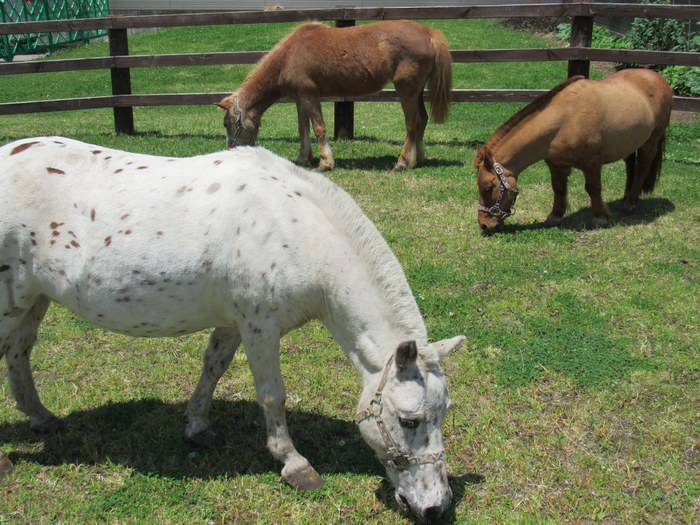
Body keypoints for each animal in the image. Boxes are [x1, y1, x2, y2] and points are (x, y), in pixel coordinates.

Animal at [0, 137, 464, 521]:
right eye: (408, 421)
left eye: (443, 412)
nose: (435, 507)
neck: (294, 227)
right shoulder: (260, 326)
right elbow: (272, 395)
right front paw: (293, 463)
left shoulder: (233, 324)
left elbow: (213, 368)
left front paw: (197, 426)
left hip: (32, 300)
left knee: (19, 353)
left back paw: (41, 417)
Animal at [217, 20, 453, 172]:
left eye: (227, 123)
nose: (229, 151)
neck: (289, 55)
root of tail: (430, 33)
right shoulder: (300, 98)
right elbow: (303, 128)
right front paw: (303, 159)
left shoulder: (310, 95)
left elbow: (319, 128)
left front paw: (325, 163)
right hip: (417, 91)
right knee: (422, 120)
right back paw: (417, 159)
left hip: (407, 90)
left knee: (413, 123)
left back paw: (402, 163)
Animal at [473, 69, 673, 235]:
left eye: (488, 188)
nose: (484, 225)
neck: (564, 120)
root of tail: (657, 77)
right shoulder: (556, 165)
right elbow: (558, 188)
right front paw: (555, 216)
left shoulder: (592, 164)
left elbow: (593, 188)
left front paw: (600, 218)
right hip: (629, 142)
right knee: (630, 163)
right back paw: (627, 197)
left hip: (652, 139)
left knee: (643, 165)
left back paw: (630, 203)